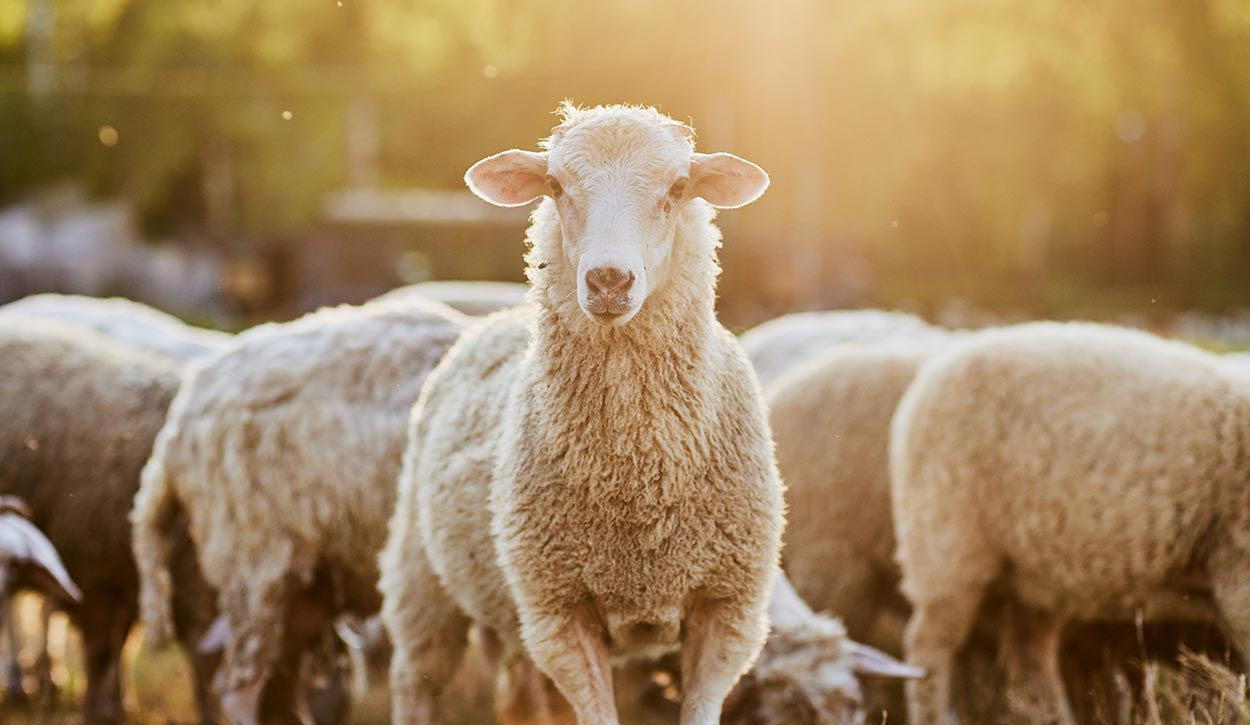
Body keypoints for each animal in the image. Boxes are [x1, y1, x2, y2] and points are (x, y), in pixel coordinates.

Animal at [379, 103, 785, 725]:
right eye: (555, 185)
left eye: (678, 188)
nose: (608, 280)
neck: (637, 476)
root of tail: (492, 320)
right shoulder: (559, 614)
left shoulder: (729, 610)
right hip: (422, 576)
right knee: (417, 678)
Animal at [890, 321, 1250, 724]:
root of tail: (937, 367)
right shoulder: (1240, 576)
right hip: (947, 544)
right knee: (929, 647)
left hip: (1030, 574)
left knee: (1030, 660)